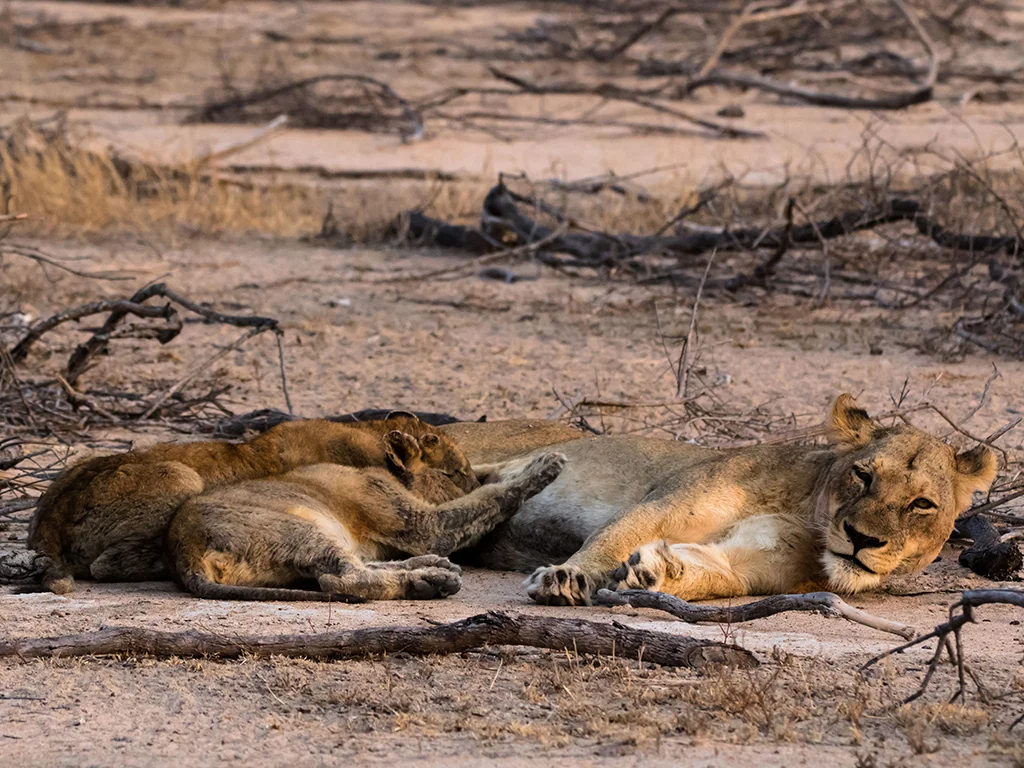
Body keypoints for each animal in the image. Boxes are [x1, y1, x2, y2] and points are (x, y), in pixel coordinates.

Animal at [166, 431, 567, 601]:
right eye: (453, 472)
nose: (463, 479)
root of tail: (184, 552)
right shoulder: (425, 525)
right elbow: (489, 496)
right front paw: (548, 464)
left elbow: (490, 481)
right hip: (298, 528)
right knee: (343, 580)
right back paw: (431, 581)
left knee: (353, 568)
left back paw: (432, 570)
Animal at [440, 395, 998, 605]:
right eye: (863, 475)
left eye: (921, 505)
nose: (862, 539)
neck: (807, 514)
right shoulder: (663, 504)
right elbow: (612, 537)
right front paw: (566, 577)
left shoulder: (752, 565)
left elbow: (714, 571)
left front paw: (654, 573)